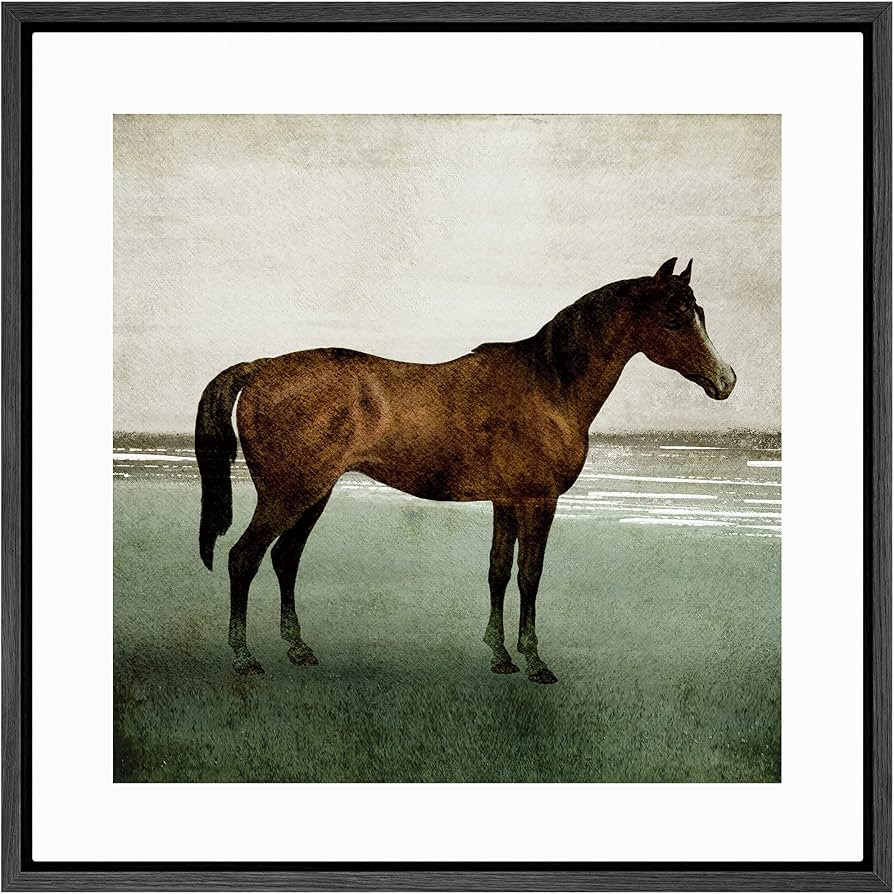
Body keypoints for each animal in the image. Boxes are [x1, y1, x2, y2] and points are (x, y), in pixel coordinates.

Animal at [195, 257, 736, 683]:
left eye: (700, 314)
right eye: (674, 319)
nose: (726, 380)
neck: (549, 384)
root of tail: (259, 367)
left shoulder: (507, 500)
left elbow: (498, 572)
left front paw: (499, 655)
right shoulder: (539, 501)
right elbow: (529, 576)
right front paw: (534, 662)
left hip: (314, 493)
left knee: (285, 559)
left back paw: (298, 648)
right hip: (287, 494)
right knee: (243, 558)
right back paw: (243, 658)